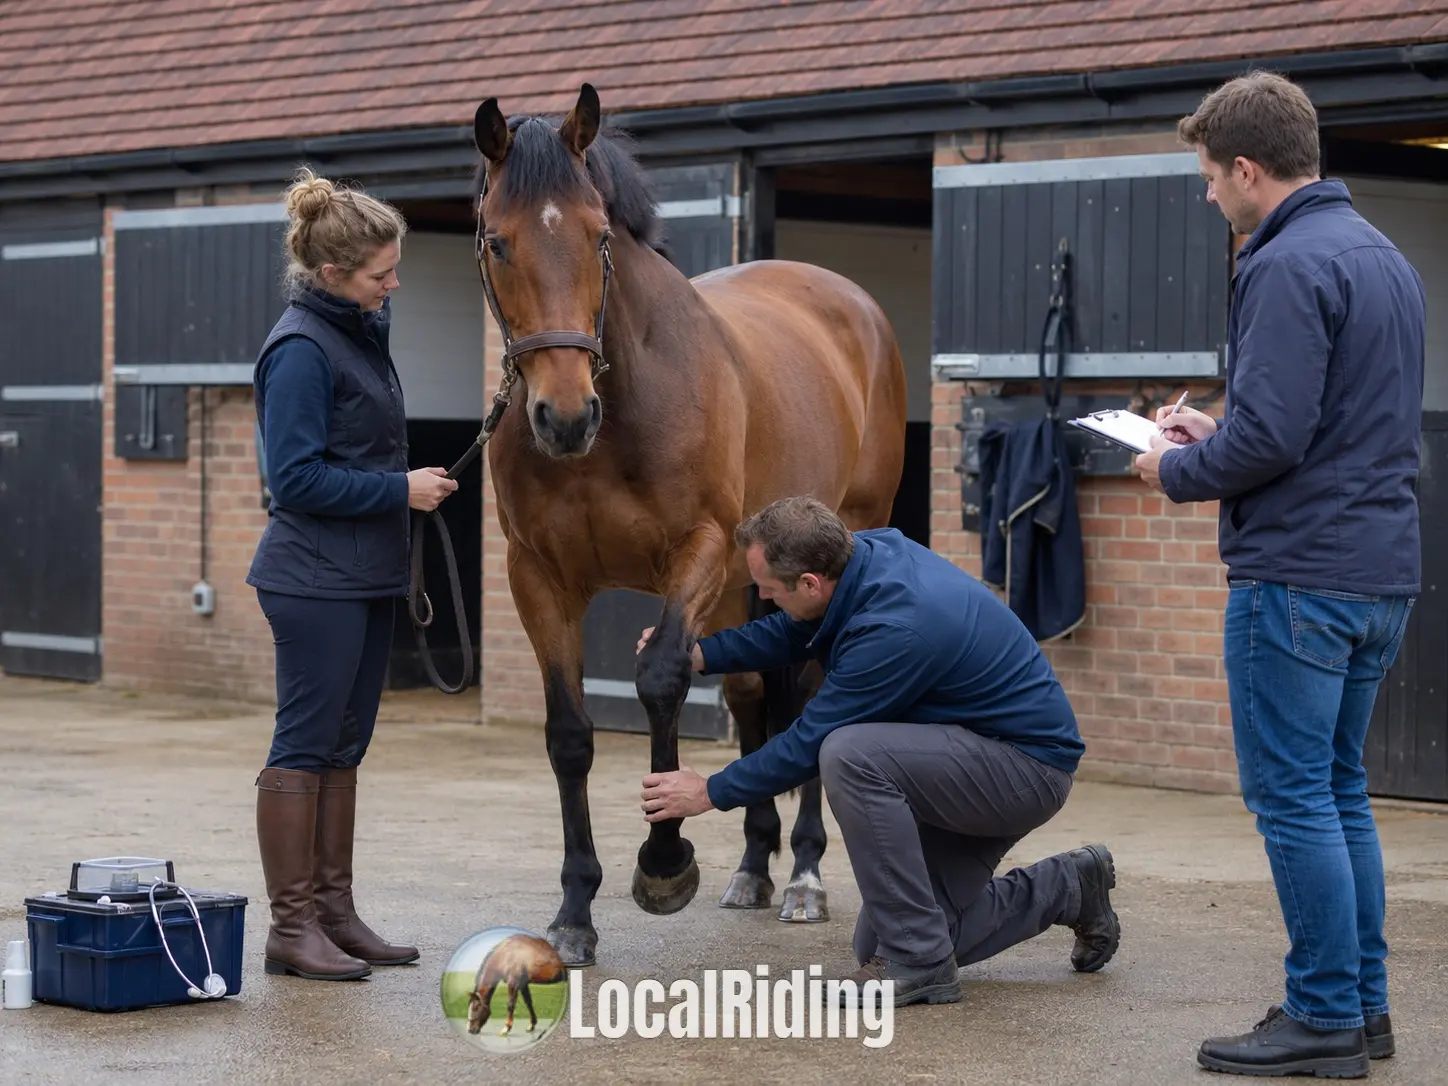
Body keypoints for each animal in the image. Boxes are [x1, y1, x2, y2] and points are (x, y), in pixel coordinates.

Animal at [470, 83, 907, 968]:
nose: (565, 416)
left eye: (600, 236)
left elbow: (662, 678)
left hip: (828, 550)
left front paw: (665, 863)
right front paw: (576, 912)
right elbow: (569, 734)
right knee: (750, 693)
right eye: (497, 242)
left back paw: (804, 874)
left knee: (815, 694)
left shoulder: (698, 552)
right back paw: (755, 866)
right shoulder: (538, 577)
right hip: (745, 581)